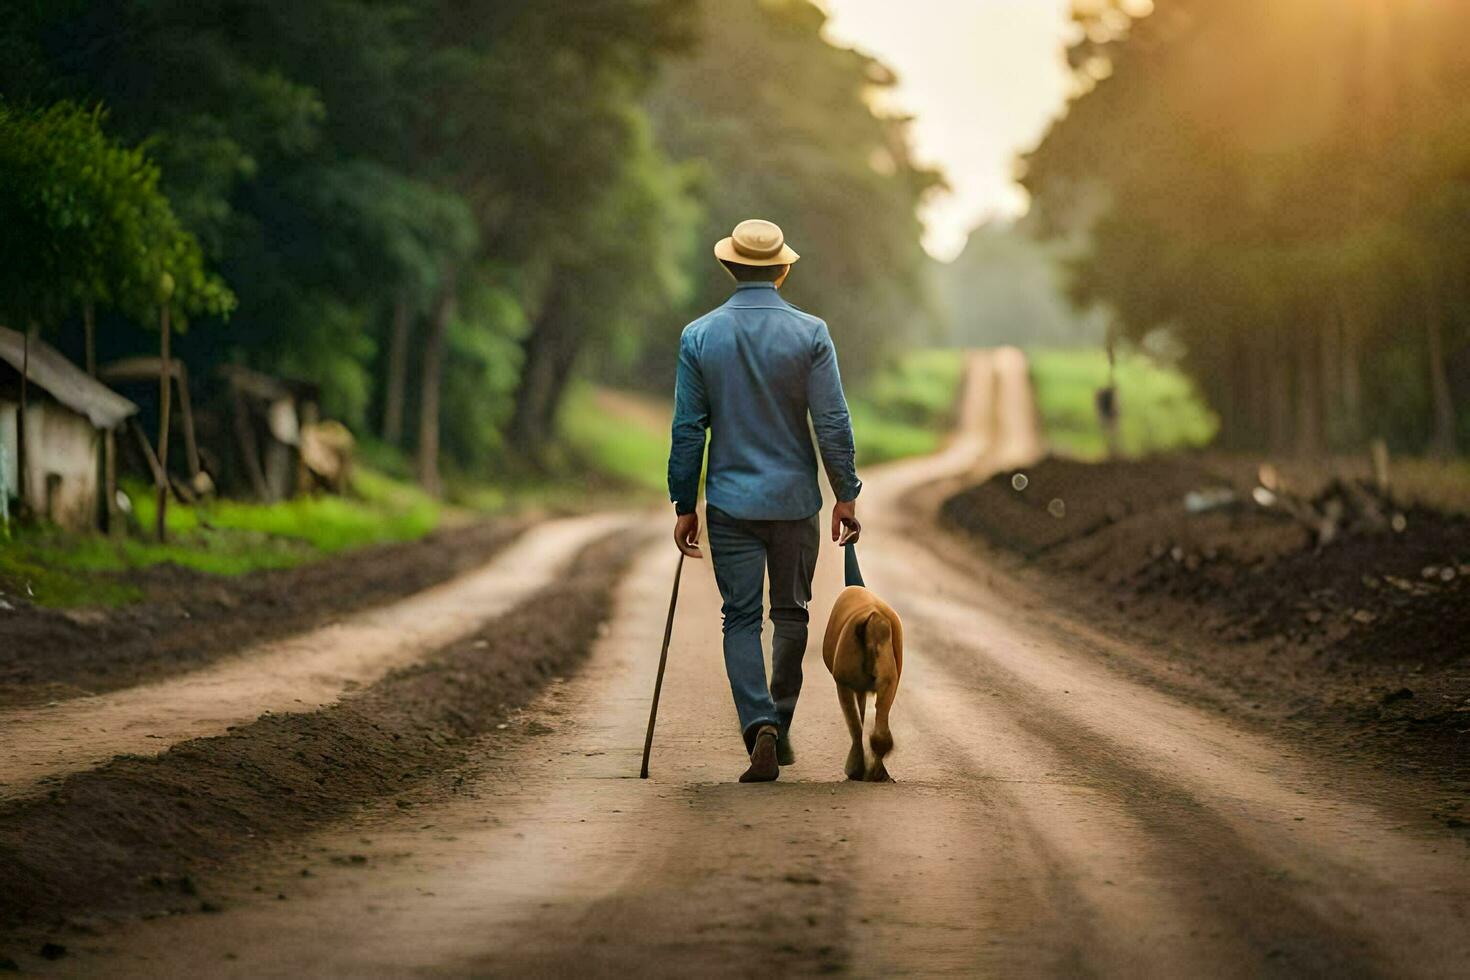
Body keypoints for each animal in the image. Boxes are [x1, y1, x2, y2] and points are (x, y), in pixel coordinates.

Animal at [823, 581, 899, 781]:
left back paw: (858, 767)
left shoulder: (846, 684)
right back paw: (878, 770)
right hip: (889, 681)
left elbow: (856, 723)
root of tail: (874, 620)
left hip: (845, 682)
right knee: (880, 726)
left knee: (856, 727)